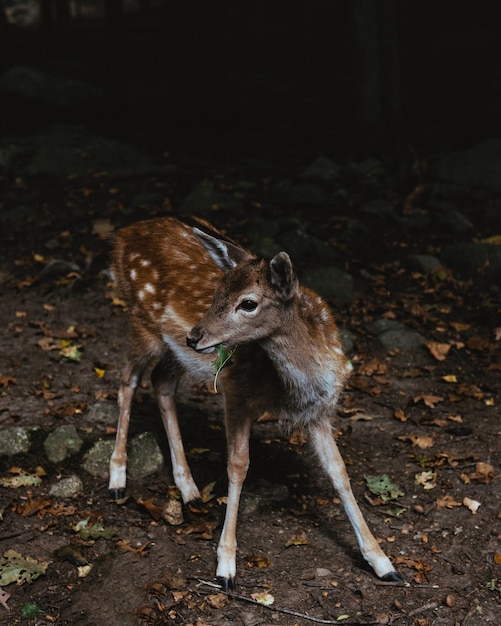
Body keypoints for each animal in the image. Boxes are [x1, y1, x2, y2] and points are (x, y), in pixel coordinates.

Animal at [108, 216, 402, 588]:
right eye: (217, 292)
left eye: (248, 303)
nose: (194, 336)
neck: (297, 385)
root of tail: (122, 235)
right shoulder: (236, 390)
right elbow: (238, 466)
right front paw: (226, 566)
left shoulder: (318, 411)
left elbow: (339, 471)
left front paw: (383, 562)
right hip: (142, 323)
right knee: (127, 381)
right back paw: (117, 479)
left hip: (173, 350)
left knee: (161, 383)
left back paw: (189, 489)